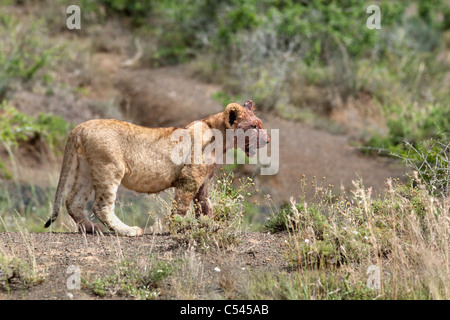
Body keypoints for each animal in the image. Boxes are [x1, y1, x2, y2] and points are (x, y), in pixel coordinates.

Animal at [44, 101, 270, 236]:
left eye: (260, 124)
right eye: (254, 127)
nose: (268, 140)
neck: (220, 137)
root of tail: (81, 126)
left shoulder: (204, 180)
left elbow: (205, 205)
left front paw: (211, 225)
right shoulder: (189, 177)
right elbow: (182, 205)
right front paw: (178, 226)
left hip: (86, 170)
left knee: (73, 201)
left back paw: (93, 229)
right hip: (109, 167)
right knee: (101, 206)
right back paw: (128, 231)